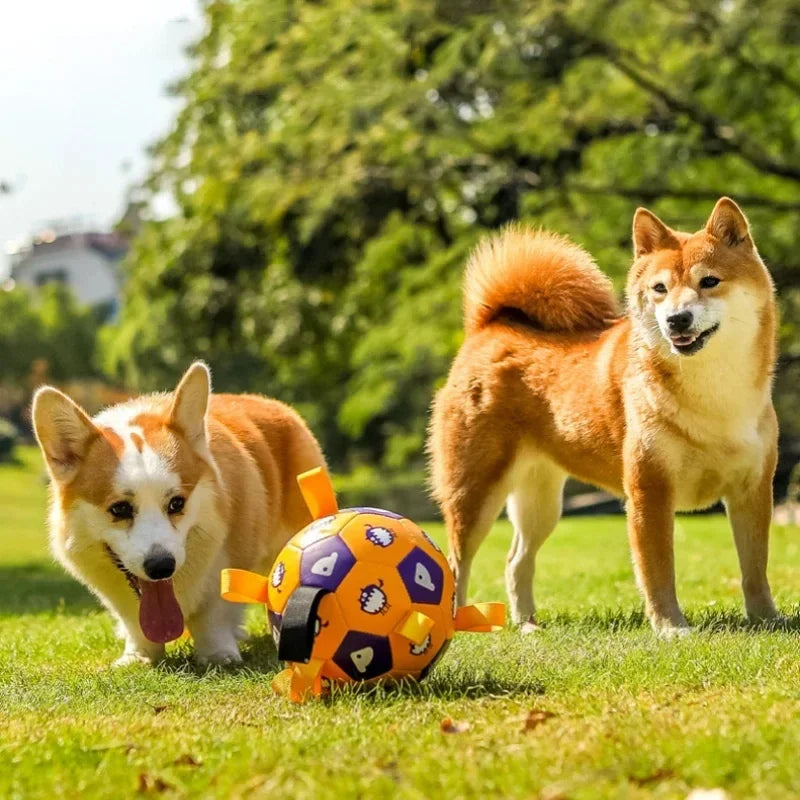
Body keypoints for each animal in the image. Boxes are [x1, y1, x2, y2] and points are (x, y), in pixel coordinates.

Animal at [31, 362, 324, 664]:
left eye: (176, 503)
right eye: (120, 508)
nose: (161, 566)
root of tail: (273, 404)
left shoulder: (228, 562)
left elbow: (214, 613)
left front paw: (218, 655)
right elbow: (134, 623)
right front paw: (138, 656)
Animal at [434, 197, 780, 636]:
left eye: (709, 281)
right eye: (660, 289)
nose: (677, 319)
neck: (713, 395)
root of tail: (492, 326)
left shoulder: (753, 490)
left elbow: (755, 568)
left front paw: (767, 619)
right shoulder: (649, 491)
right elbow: (658, 571)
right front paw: (671, 627)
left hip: (540, 502)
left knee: (516, 561)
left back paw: (528, 626)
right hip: (475, 492)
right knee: (457, 563)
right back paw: (457, 624)